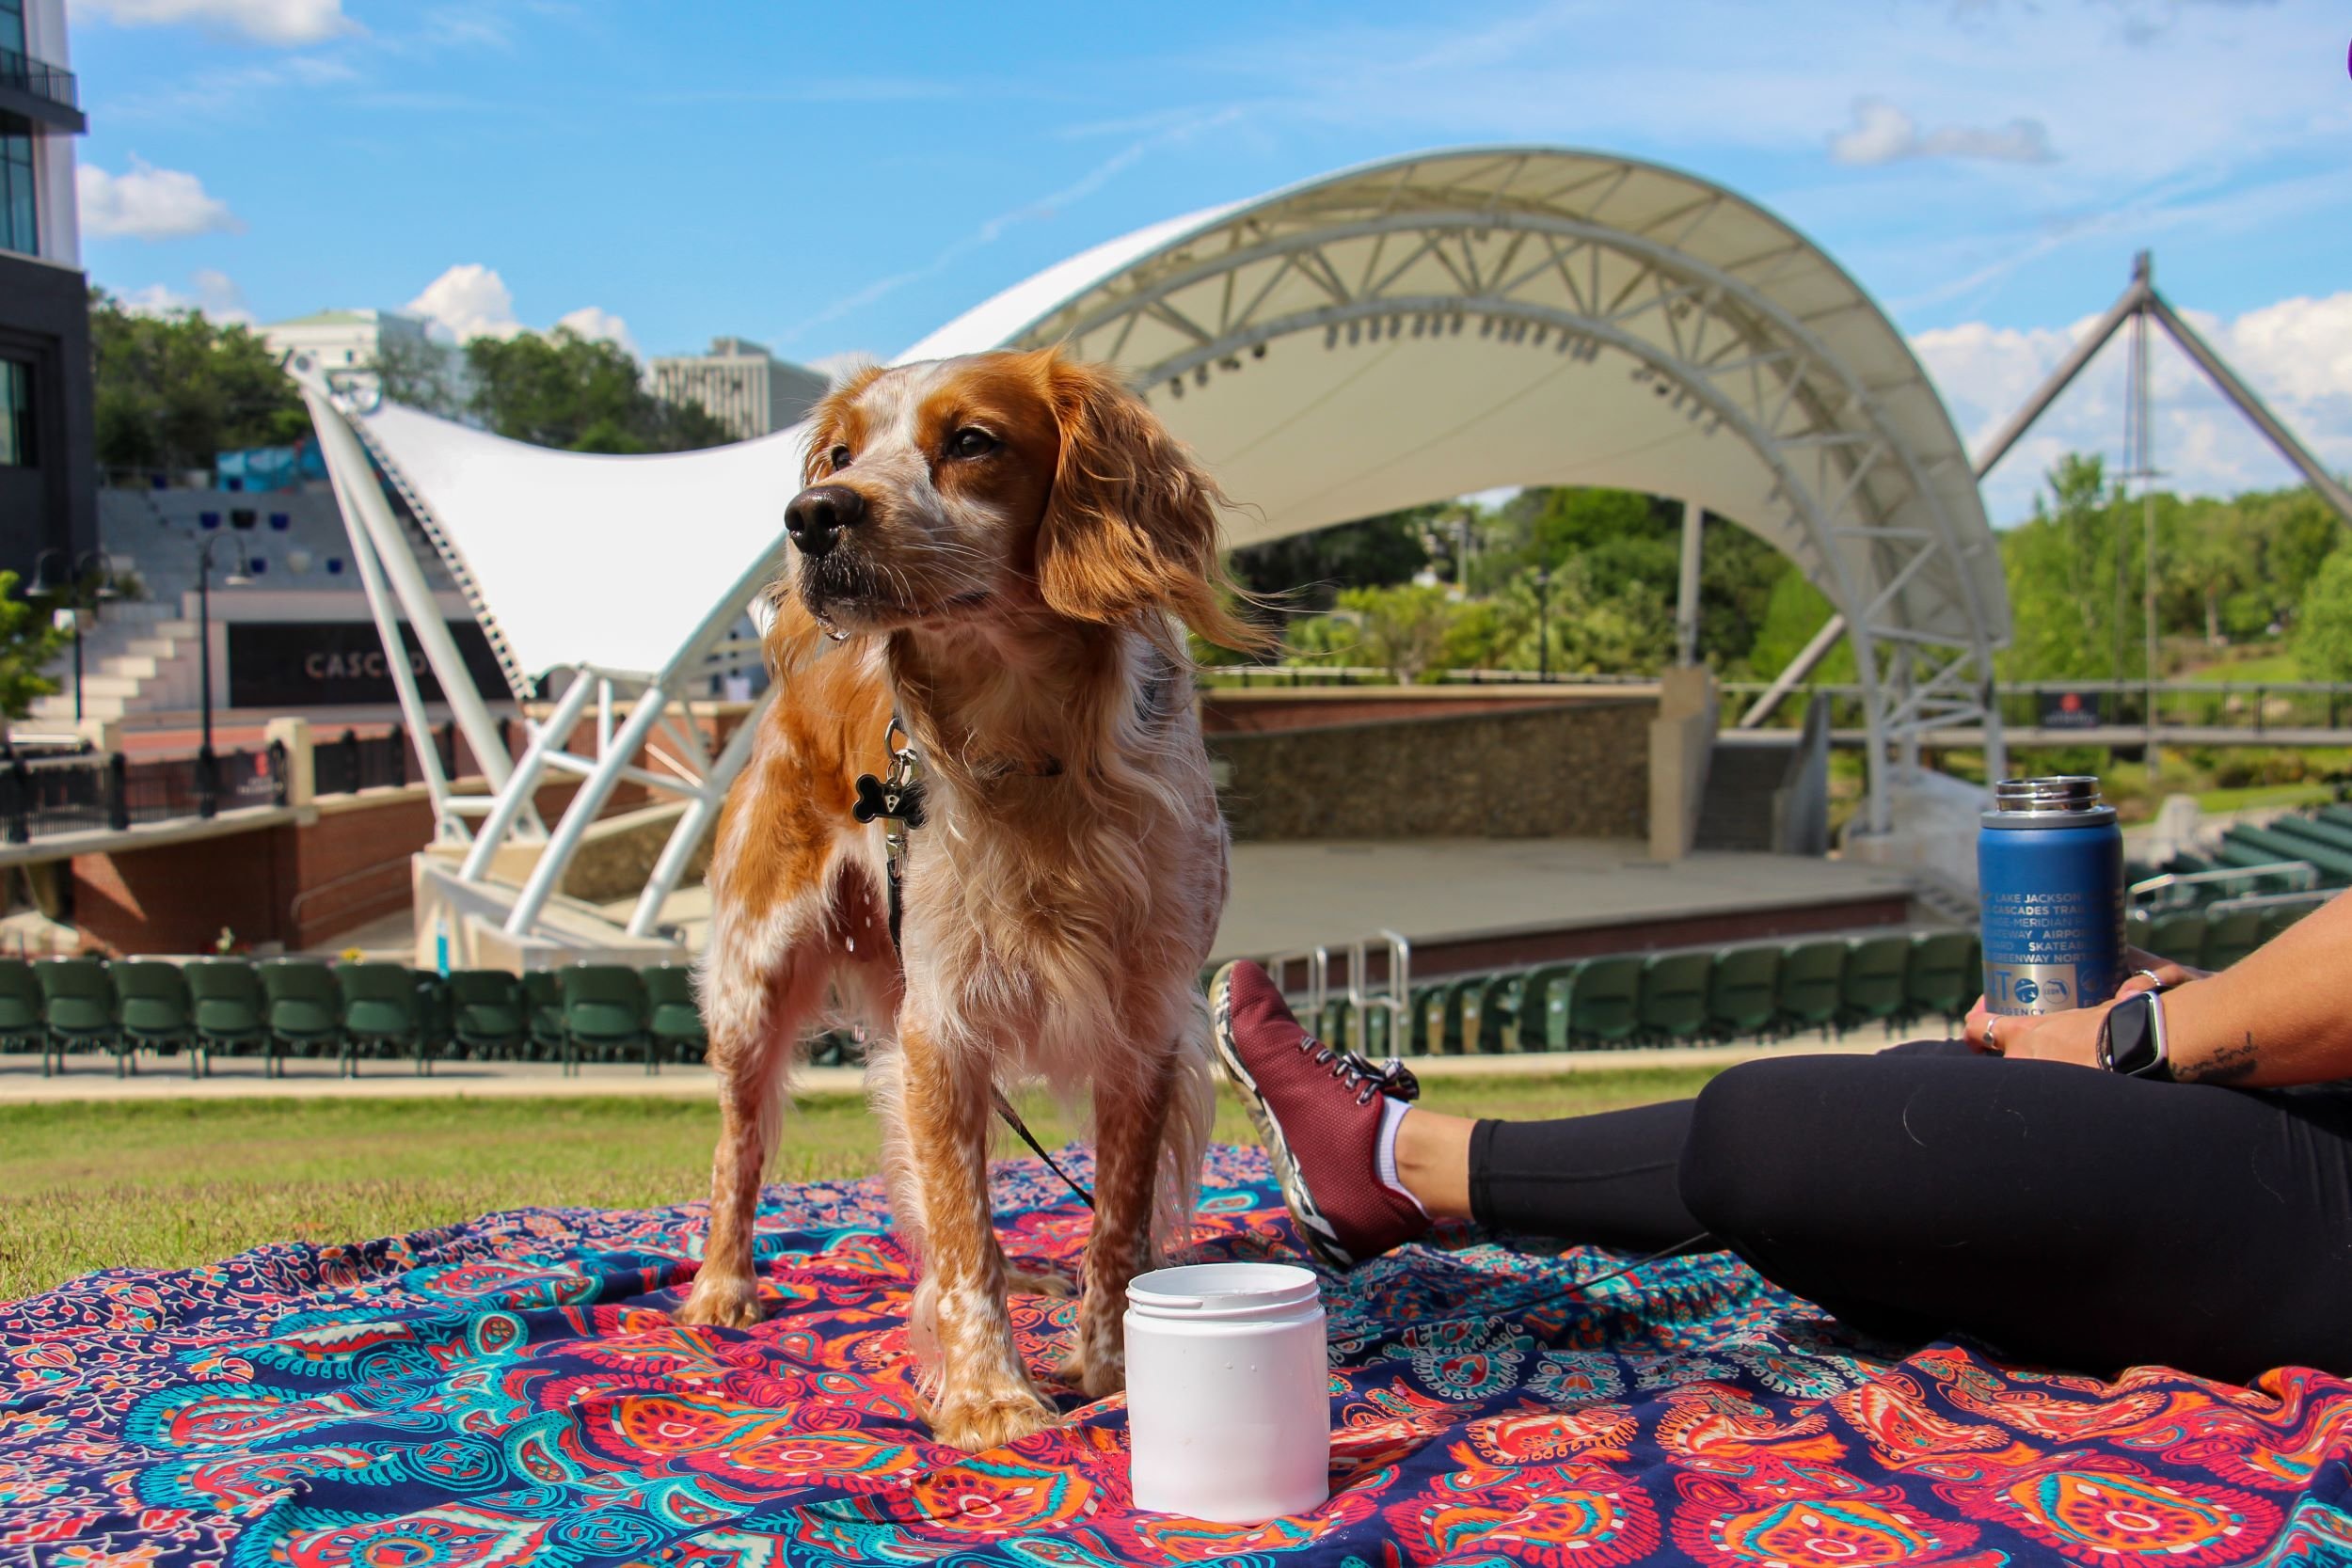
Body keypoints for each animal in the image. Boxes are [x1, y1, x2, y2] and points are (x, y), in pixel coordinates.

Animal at [682, 350, 1270, 1457]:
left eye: (971, 442)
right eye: (839, 454)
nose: (811, 515)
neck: (1028, 744)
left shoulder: (1143, 1023)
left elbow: (1117, 1222)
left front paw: (1111, 1369)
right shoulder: (940, 1025)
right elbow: (965, 1234)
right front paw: (989, 1394)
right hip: (753, 980)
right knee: (740, 1144)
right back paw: (721, 1286)